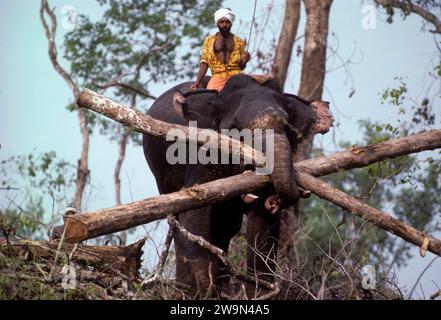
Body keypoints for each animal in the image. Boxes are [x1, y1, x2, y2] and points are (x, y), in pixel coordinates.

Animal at [143, 73, 332, 298]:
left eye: (287, 126)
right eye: (235, 125)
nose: (274, 201)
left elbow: (263, 227)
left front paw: (259, 293)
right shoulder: (200, 158)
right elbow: (194, 215)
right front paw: (205, 292)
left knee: (226, 226)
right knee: (179, 222)